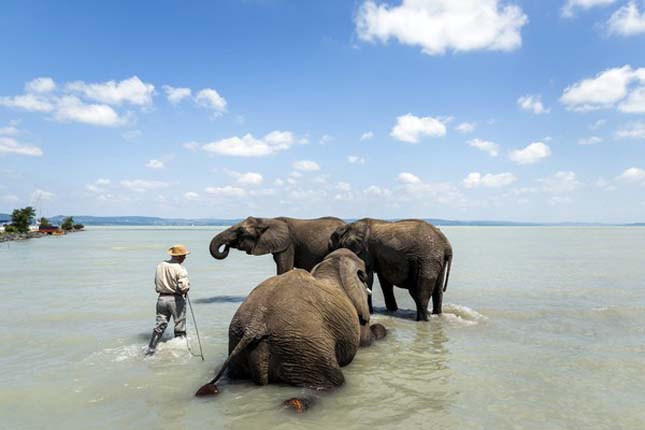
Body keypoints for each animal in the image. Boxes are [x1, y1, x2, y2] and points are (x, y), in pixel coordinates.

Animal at [191, 249, 382, 406]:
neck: (332, 264)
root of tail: (256, 325)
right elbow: (366, 341)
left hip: (241, 339)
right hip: (304, 347)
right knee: (332, 384)